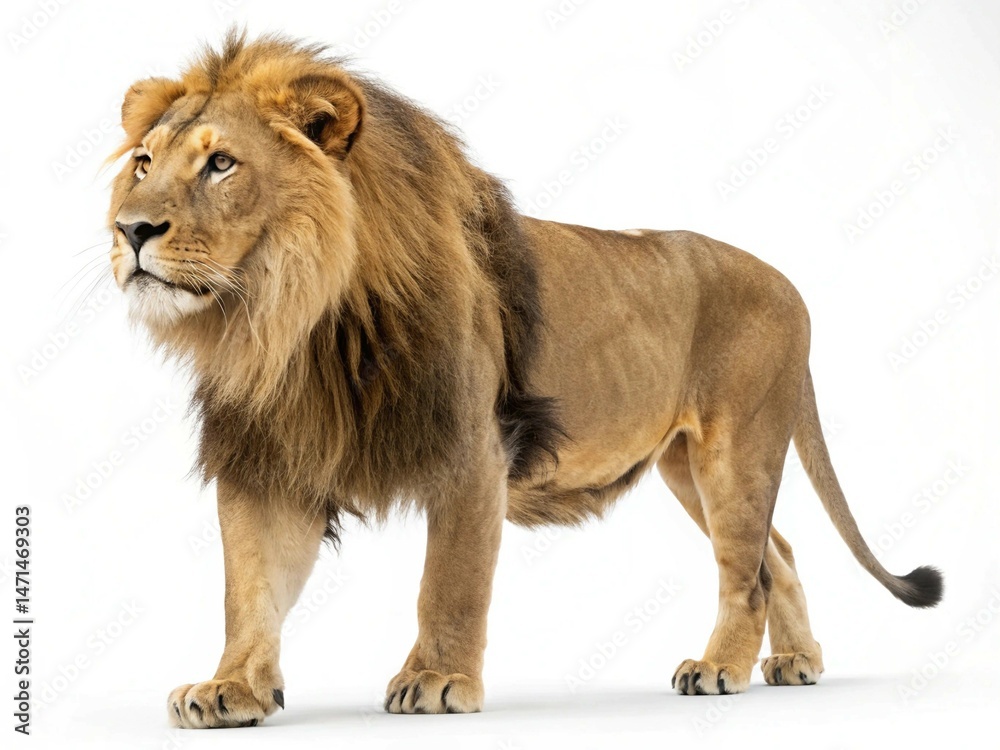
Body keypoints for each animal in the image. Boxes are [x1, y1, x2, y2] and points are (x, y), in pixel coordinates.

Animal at [106, 32, 942, 728]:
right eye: (144, 163)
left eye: (221, 163)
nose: (131, 230)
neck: (289, 320)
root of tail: (789, 282)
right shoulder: (270, 459)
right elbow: (248, 587)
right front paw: (233, 688)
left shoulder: (472, 449)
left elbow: (450, 579)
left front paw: (437, 682)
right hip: (685, 465)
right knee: (782, 554)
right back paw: (796, 662)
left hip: (736, 451)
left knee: (749, 572)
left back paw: (719, 669)